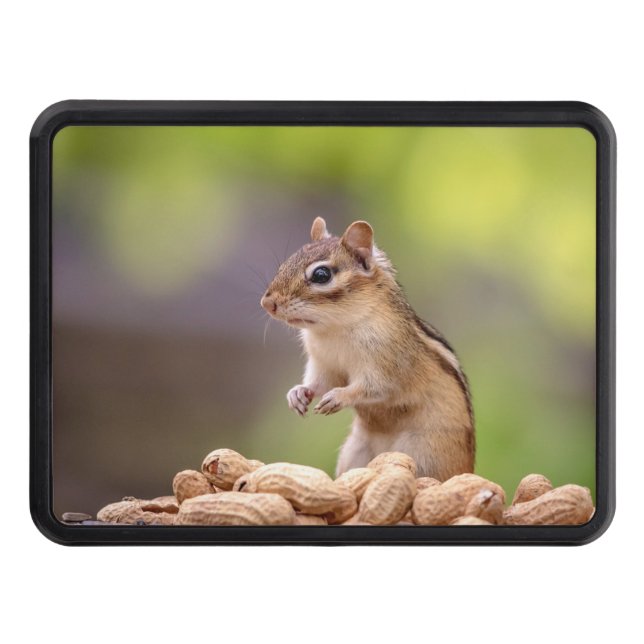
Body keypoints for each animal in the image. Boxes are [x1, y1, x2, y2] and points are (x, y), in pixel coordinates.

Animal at [260, 217, 475, 480]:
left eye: (321, 275)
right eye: (284, 265)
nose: (267, 303)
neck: (335, 329)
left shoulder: (388, 363)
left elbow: (374, 388)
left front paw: (339, 397)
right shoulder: (324, 364)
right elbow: (320, 382)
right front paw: (298, 393)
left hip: (425, 454)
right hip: (354, 452)